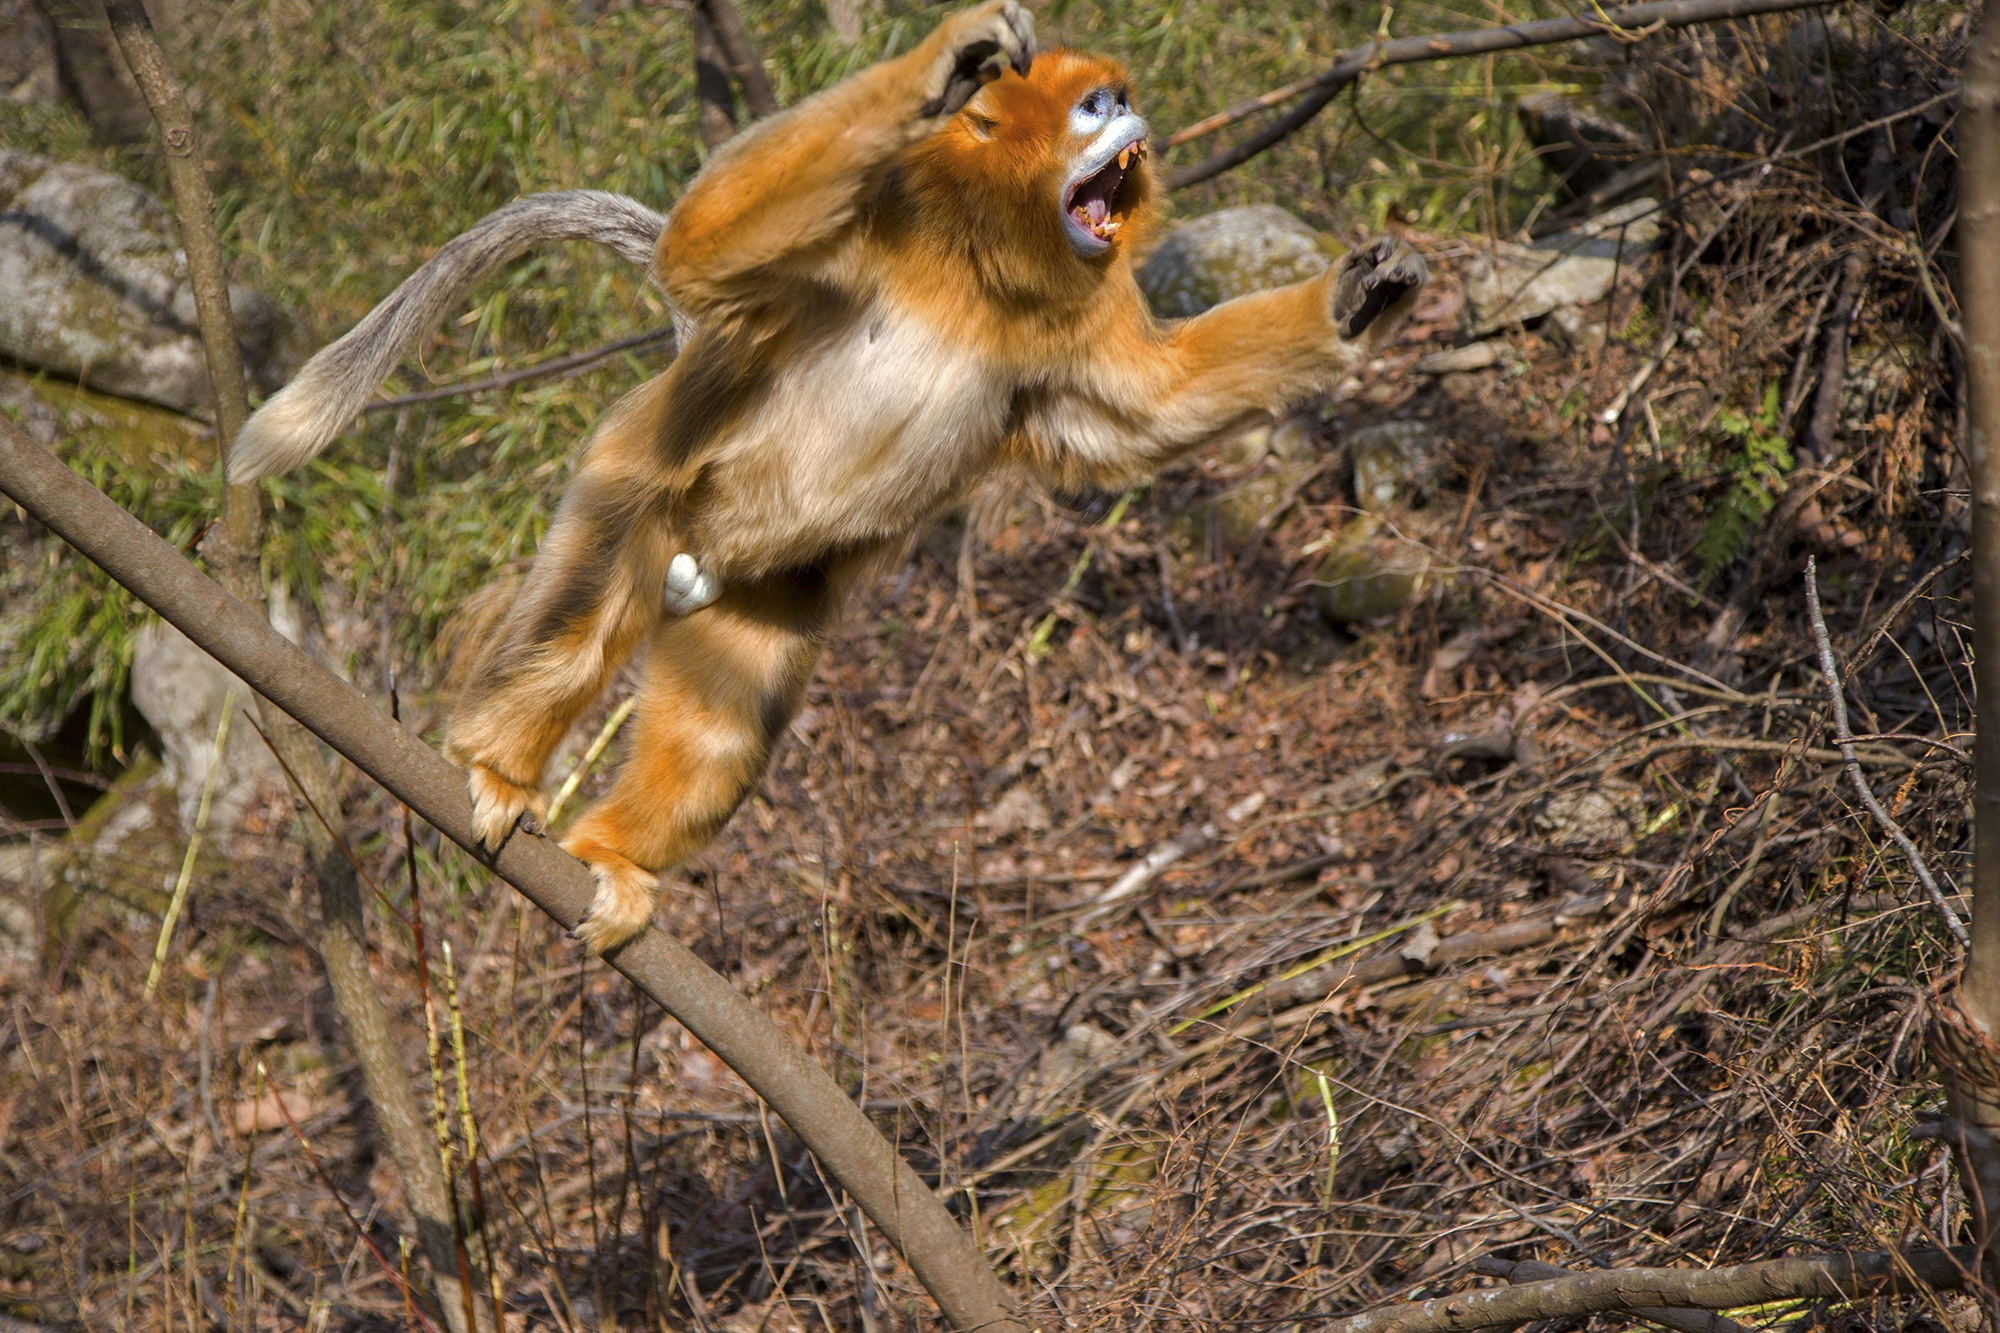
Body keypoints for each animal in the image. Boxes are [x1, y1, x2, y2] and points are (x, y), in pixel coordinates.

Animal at [230, 2, 1424, 956]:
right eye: (1093, 107)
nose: (1131, 120)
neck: (973, 268)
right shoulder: (871, 224)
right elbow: (701, 245)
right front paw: (942, 63)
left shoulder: (1069, 327)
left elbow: (1143, 416)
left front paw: (1353, 302)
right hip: (639, 481)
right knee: (579, 616)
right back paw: (497, 768)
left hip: (753, 586)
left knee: (727, 716)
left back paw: (613, 857)